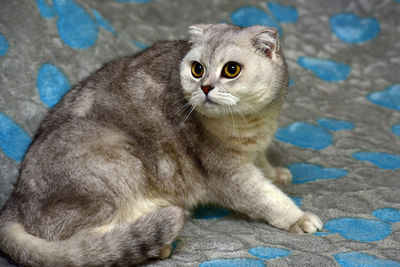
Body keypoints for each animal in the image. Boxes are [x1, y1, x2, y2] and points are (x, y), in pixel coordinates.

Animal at [0, 23, 322, 267]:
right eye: (197, 69)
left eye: (231, 70)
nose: (205, 87)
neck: (252, 123)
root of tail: (14, 199)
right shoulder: (227, 174)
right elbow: (266, 198)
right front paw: (298, 217)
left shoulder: (253, 149)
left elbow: (263, 163)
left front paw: (276, 172)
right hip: (116, 162)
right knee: (77, 241)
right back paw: (154, 243)